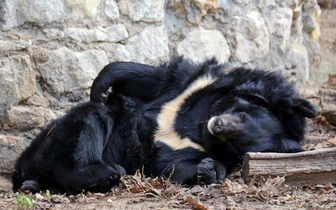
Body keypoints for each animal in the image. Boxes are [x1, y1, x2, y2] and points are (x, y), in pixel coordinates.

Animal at [92, 56, 318, 185]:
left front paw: (209, 170)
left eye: (237, 143)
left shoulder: (180, 149)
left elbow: (171, 164)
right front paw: (99, 88)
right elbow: (160, 78)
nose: (218, 125)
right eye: (242, 115)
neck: (201, 122)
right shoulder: (196, 85)